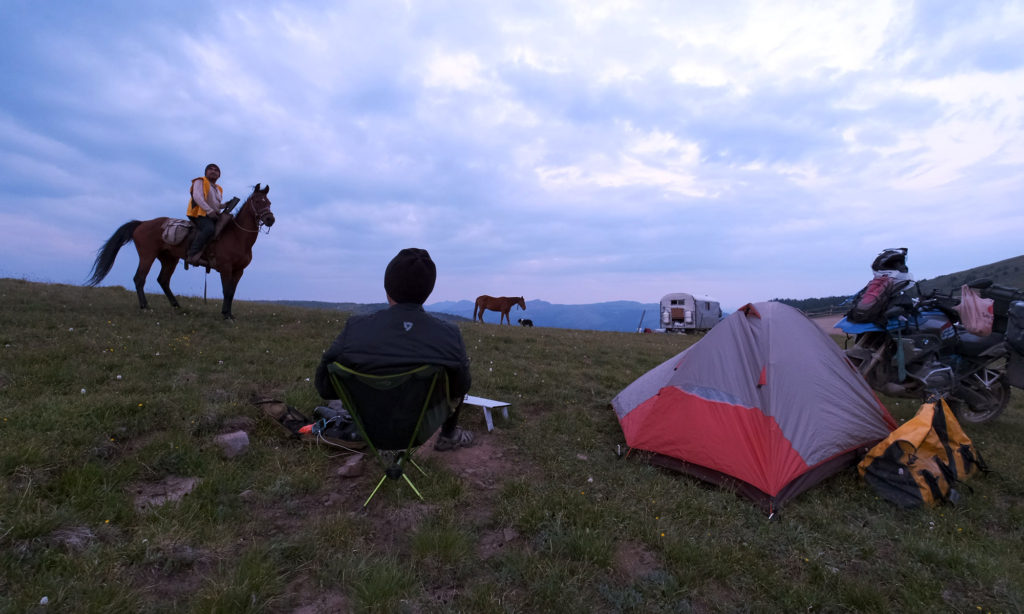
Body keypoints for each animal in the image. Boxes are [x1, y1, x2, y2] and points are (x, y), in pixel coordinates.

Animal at [87, 183, 276, 319]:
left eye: (269, 202)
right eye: (257, 201)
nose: (270, 219)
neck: (237, 236)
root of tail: (142, 223)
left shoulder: (238, 271)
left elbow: (232, 292)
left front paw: (229, 314)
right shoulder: (226, 268)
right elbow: (227, 291)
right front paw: (225, 315)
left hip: (169, 259)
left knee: (163, 280)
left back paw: (176, 305)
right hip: (147, 256)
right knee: (139, 279)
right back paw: (145, 306)